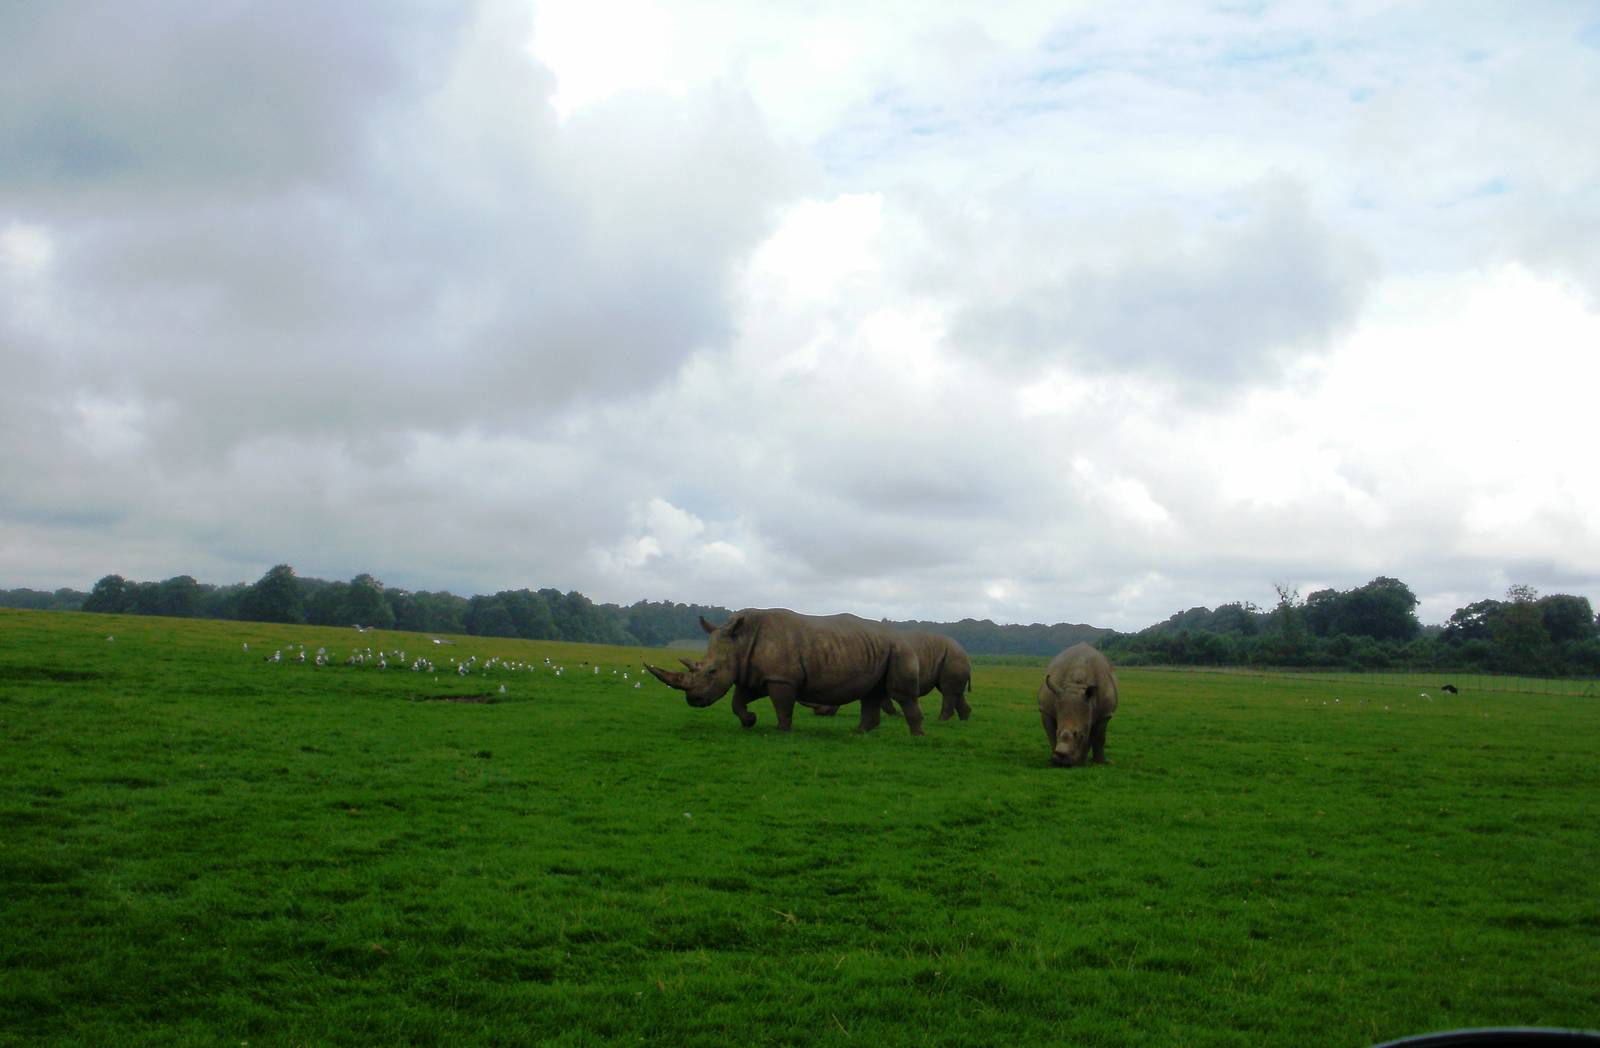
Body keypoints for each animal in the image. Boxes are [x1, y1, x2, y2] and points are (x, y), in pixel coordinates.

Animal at [643, 609, 929, 734]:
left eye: (712, 671)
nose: (693, 700)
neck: (740, 641)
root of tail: (900, 635)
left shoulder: (781, 678)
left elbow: (782, 705)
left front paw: (782, 730)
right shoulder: (753, 675)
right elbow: (738, 701)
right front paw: (750, 721)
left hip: (900, 649)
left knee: (901, 694)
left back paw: (916, 736)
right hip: (880, 649)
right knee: (871, 693)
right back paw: (859, 733)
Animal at [806, 630, 972, 722]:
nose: (820, 715)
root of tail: (964, 651)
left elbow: (885, 702)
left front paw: (897, 716)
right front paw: (897, 715)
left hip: (953, 656)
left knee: (948, 691)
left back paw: (940, 721)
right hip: (951, 655)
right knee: (952, 691)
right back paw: (963, 720)